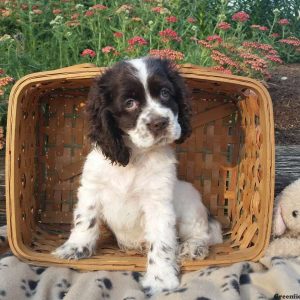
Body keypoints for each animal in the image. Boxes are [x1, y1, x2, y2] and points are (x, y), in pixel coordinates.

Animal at [53, 56, 223, 296]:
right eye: (129, 103)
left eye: (165, 93)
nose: (159, 123)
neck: (136, 156)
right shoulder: (91, 189)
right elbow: (84, 220)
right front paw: (74, 248)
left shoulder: (158, 203)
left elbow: (162, 242)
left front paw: (161, 279)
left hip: (188, 199)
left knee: (203, 233)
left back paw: (193, 247)